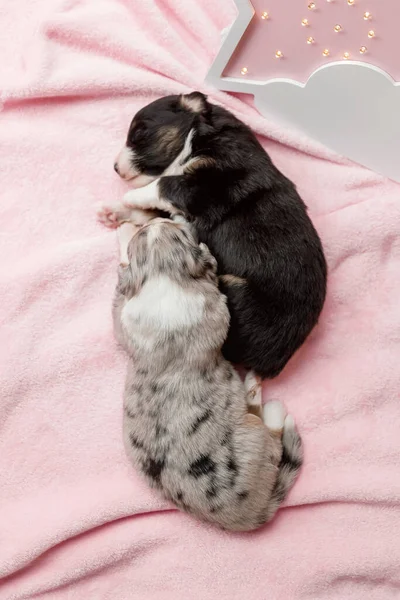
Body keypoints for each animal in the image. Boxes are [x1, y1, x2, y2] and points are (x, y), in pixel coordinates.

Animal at [98, 90, 326, 380]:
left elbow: (162, 185)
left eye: (139, 133)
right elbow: (154, 206)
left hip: (231, 292)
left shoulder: (210, 185)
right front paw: (114, 209)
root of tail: (272, 364)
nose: (116, 168)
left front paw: (128, 197)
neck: (200, 138)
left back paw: (128, 233)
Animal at [111, 219, 302, 528]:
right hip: (254, 433)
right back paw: (260, 393)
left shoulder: (123, 317)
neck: (164, 274)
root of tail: (249, 515)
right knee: (270, 431)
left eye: (149, 231)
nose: (157, 220)